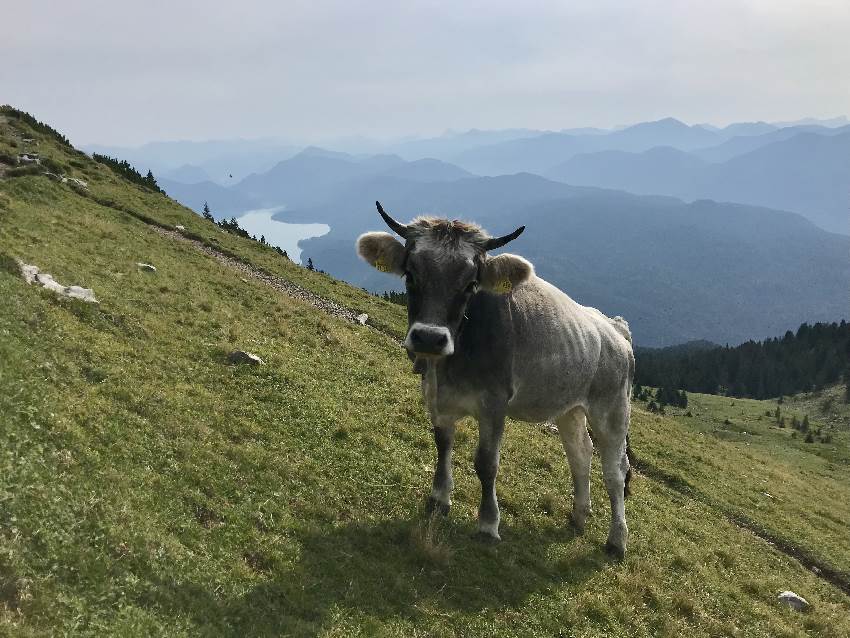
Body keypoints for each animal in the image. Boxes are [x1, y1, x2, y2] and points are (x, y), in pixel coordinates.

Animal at [354, 202, 632, 556]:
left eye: (470, 284)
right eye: (410, 274)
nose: (429, 338)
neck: (452, 365)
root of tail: (614, 326)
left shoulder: (494, 403)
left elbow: (487, 464)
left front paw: (488, 523)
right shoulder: (436, 395)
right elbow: (443, 444)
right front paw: (439, 499)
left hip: (612, 408)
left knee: (615, 471)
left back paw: (616, 540)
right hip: (569, 406)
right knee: (580, 452)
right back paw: (579, 515)